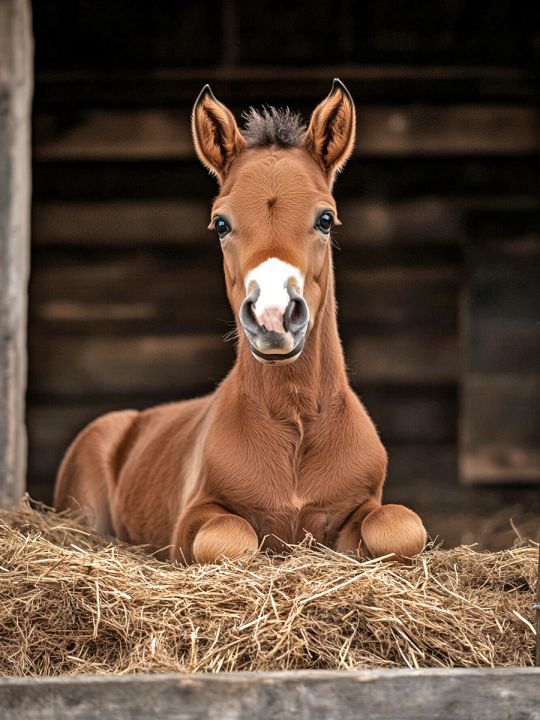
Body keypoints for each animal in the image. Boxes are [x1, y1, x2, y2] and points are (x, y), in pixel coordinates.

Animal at [54, 81, 426, 564]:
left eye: (325, 218)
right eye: (220, 223)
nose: (273, 317)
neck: (295, 423)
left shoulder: (363, 504)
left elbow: (399, 526)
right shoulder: (193, 518)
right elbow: (229, 538)